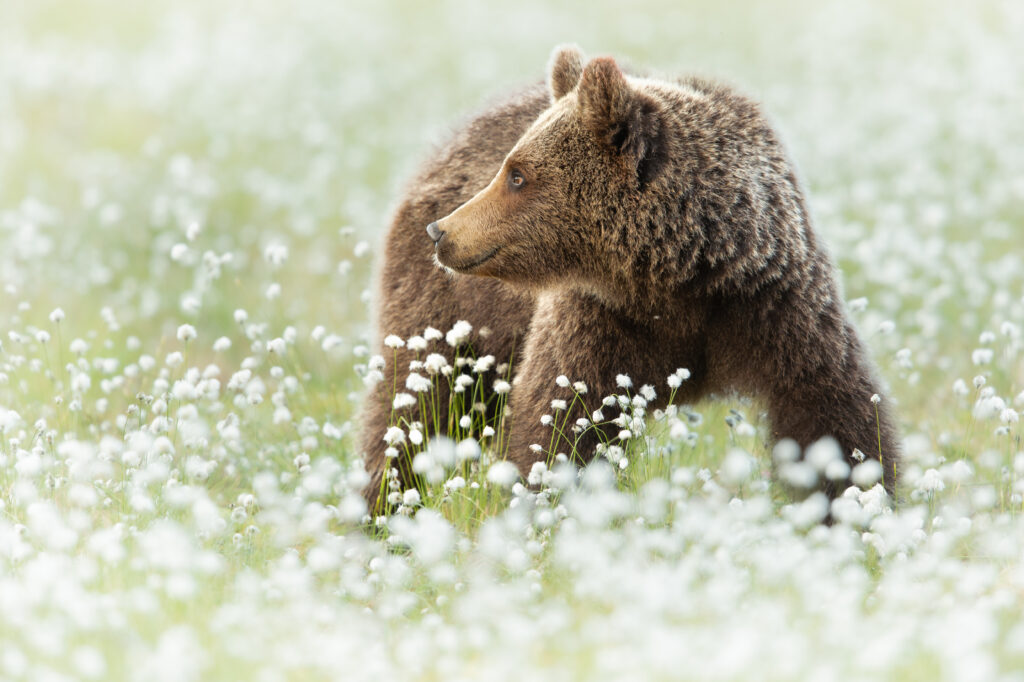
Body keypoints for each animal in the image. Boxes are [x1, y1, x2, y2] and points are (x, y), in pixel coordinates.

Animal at [359, 45, 900, 512]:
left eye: (517, 175)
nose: (442, 232)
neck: (674, 279)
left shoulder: (774, 304)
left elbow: (833, 413)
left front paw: (858, 504)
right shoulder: (599, 320)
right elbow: (558, 423)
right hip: (453, 314)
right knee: (416, 404)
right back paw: (382, 506)